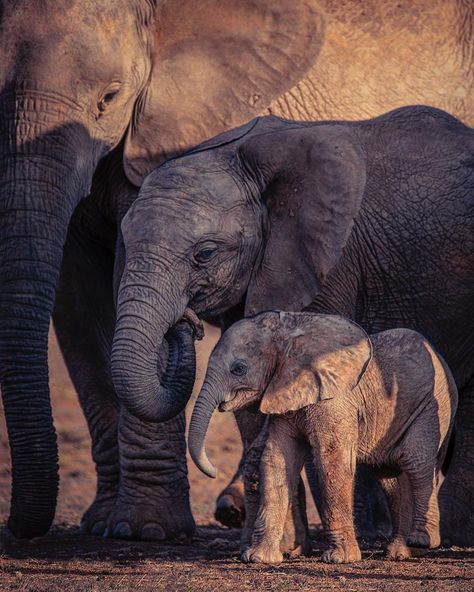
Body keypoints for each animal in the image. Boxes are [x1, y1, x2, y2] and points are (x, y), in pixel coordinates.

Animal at [187, 310, 458, 564]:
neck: (290, 334)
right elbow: (275, 460)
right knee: (389, 475)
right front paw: (259, 558)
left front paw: (340, 559)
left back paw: (422, 541)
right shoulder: (283, 396)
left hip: (434, 405)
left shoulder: (335, 401)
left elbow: (332, 460)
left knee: (414, 460)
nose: (214, 471)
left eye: (239, 369)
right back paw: (401, 552)